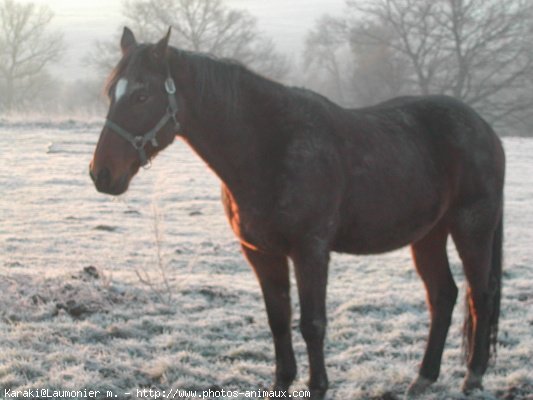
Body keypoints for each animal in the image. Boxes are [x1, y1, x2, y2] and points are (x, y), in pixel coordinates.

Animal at [89, 28, 504, 400]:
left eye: (142, 94)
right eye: (110, 93)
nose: (101, 174)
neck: (269, 147)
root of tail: (485, 128)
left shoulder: (311, 250)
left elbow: (312, 323)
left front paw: (318, 387)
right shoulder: (261, 253)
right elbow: (279, 320)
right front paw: (281, 384)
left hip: (472, 227)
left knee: (479, 295)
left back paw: (473, 377)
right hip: (428, 234)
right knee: (443, 296)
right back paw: (424, 379)